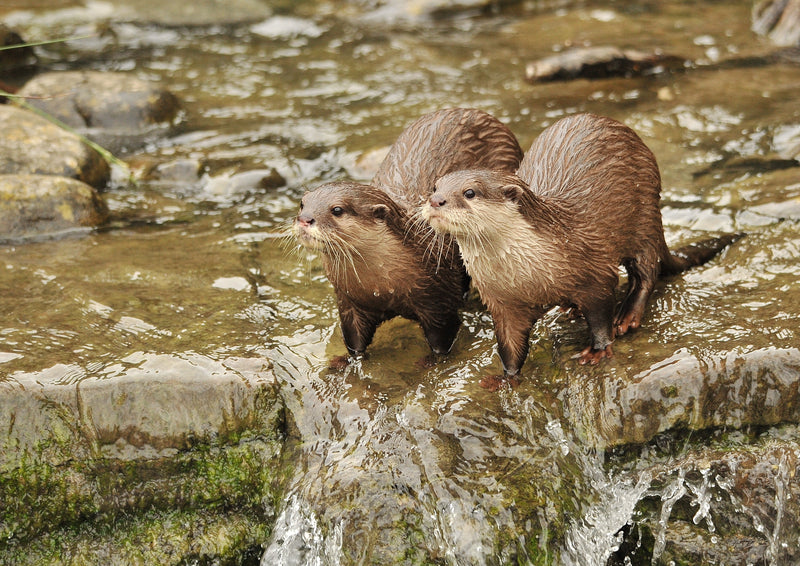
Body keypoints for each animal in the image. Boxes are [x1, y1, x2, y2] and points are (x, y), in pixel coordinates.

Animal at [294, 108, 523, 359]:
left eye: (337, 209)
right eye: (302, 203)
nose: (305, 219)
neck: (382, 289)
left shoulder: (438, 304)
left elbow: (442, 342)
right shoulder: (349, 304)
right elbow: (354, 342)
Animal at [422, 113, 742, 385]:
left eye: (469, 192)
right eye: (435, 186)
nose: (436, 201)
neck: (526, 276)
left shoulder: (593, 272)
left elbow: (600, 315)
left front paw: (598, 350)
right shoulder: (503, 304)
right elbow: (509, 347)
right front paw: (506, 377)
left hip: (645, 220)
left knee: (647, 271)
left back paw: (627, 317)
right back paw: (570, 308)